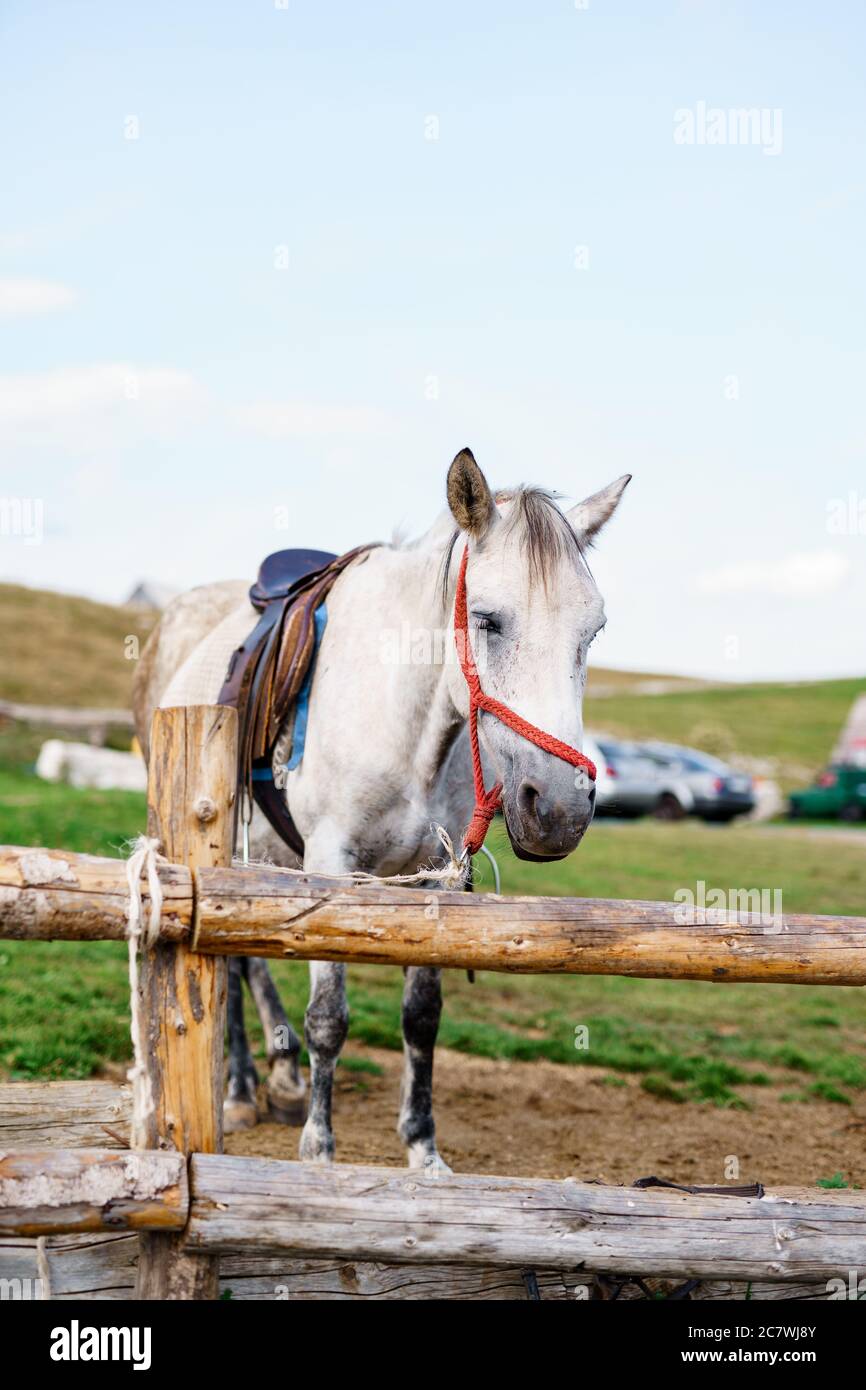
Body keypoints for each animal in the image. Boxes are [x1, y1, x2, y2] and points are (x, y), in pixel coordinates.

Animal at [132, 448, 630, 1171]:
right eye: (487, 619)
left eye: (592, 630)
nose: (559, 808)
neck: (406, 716)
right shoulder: (331, 867)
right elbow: (329, 1018)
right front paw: (320, 1150)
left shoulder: (439, 878)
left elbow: (422, 1017)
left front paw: (422, 1147)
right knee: (232, 957)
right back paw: (246, 1087)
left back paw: (277, 1079)